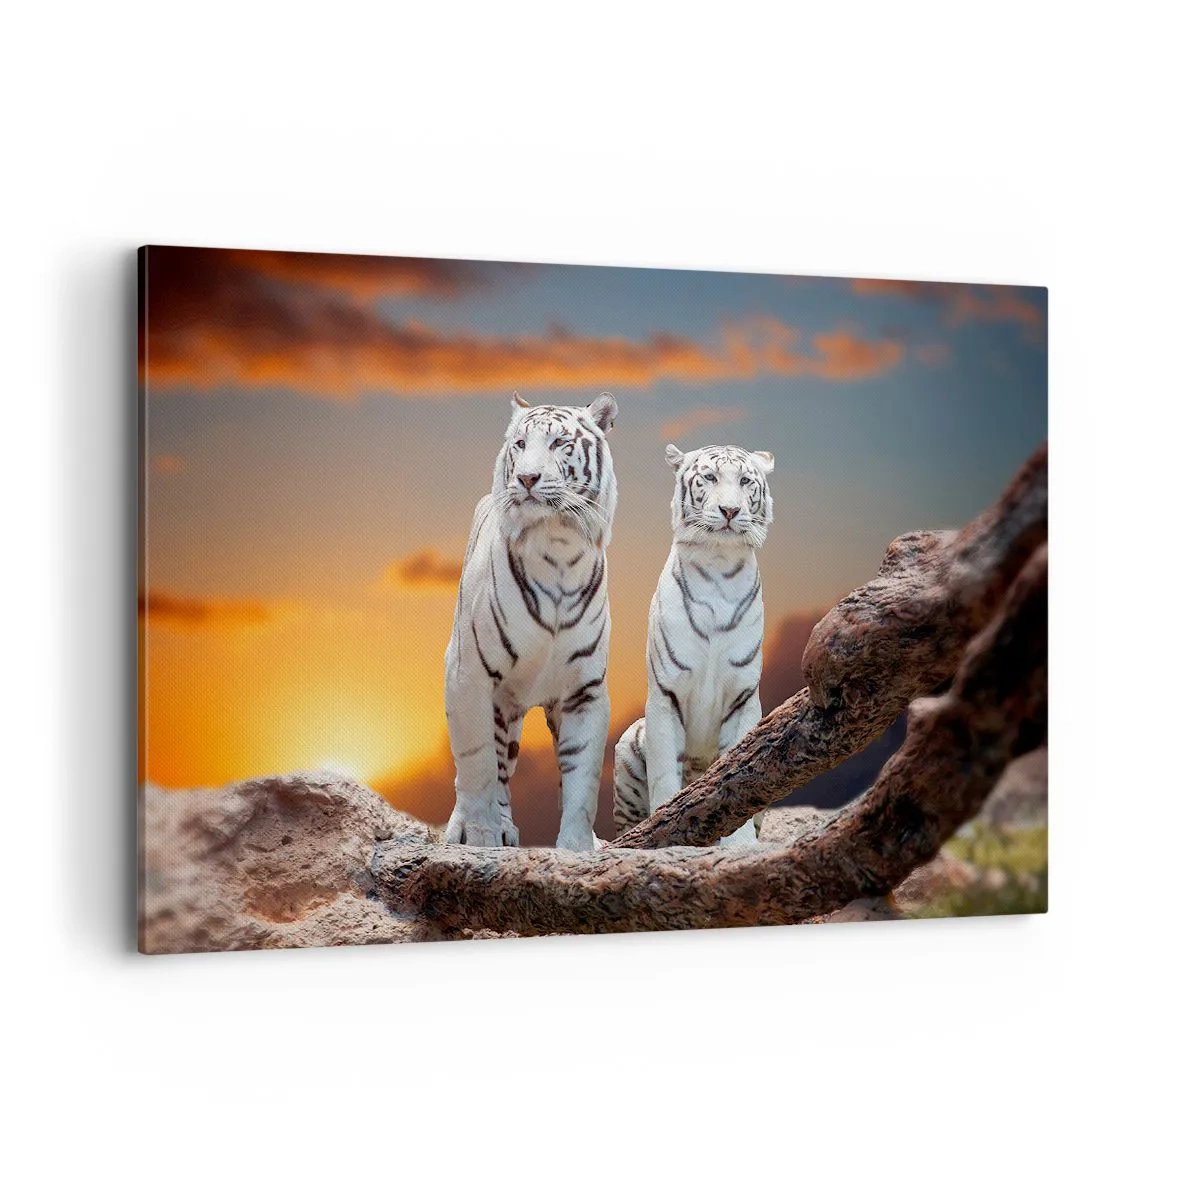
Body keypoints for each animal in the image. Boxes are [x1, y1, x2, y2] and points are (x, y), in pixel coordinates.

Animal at [443, 390, 619, 851]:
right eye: (520, 445)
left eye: (560, 443)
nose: (526, 478)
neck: (558, 546)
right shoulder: (468, 675)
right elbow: (477, 765)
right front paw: (479, 834)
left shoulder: (584, 690)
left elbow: (582, 778)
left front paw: (578, 847)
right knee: (493, 767)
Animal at [613, 442, 774, 846]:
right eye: (710, 478)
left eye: (745, 481)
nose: (730, 510)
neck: (719, 564)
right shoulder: (665, 694)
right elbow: (664, 776)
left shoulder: (743, 697)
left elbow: (740, 772)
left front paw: (739, 845)